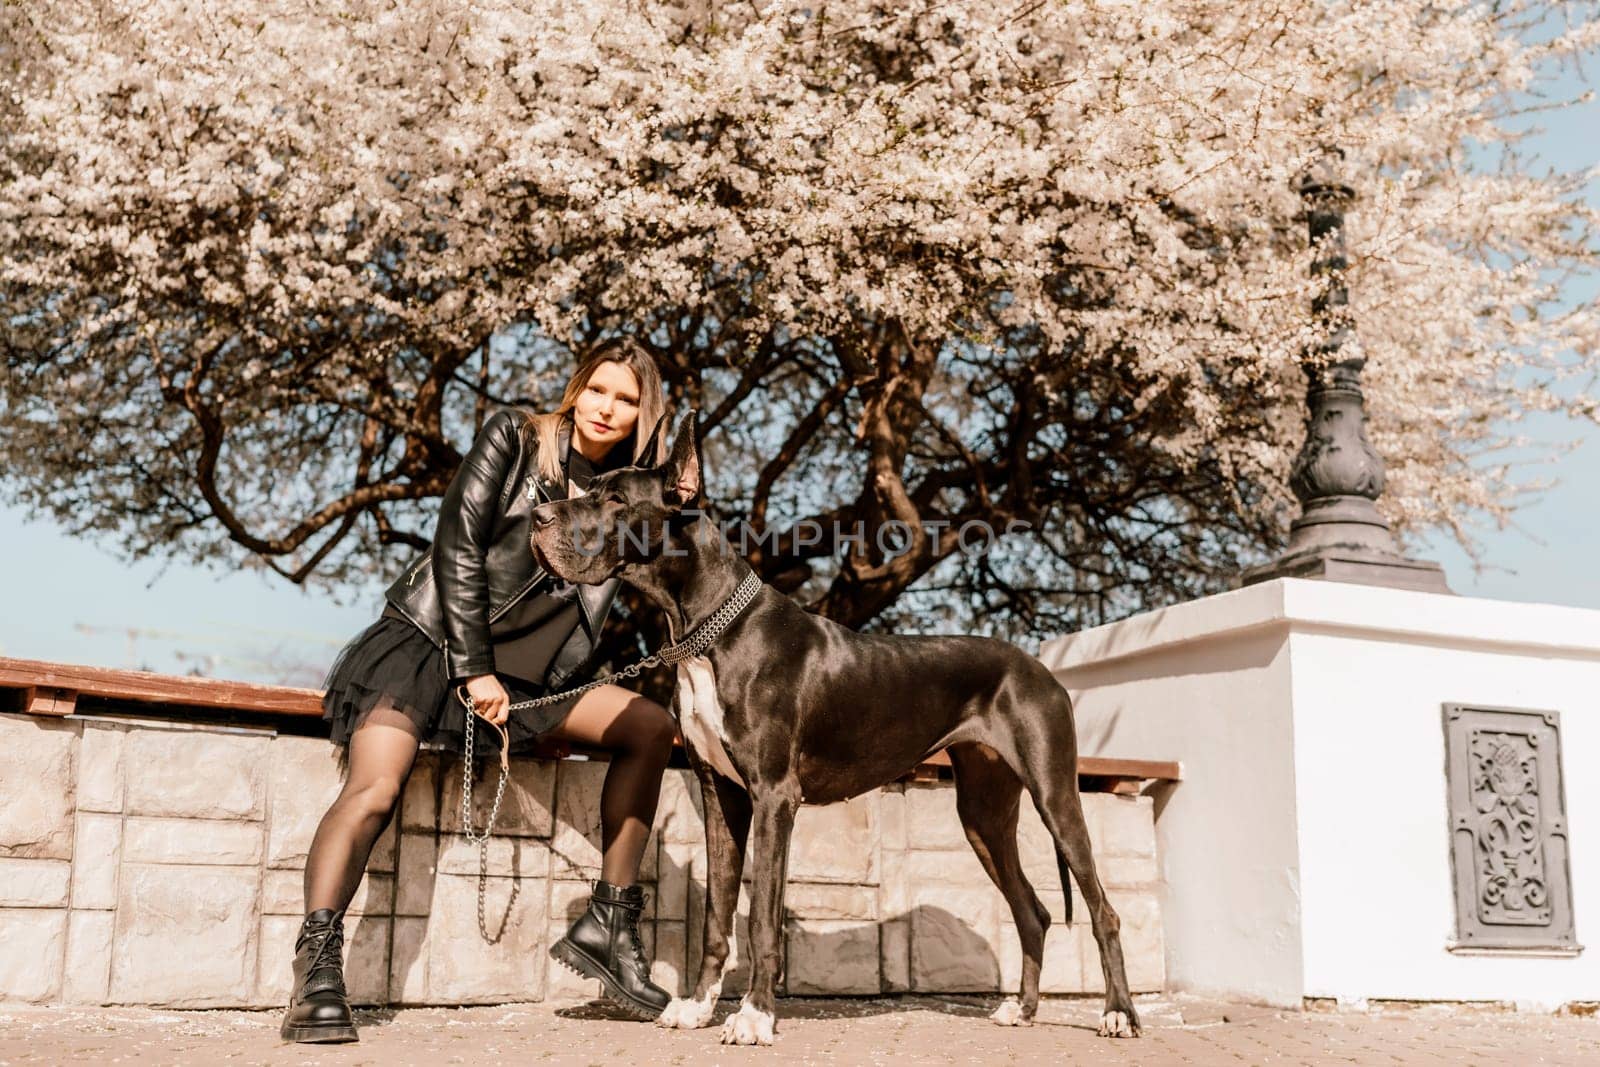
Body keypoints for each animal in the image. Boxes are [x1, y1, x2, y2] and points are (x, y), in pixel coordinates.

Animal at [531, 412, 1145, 1049]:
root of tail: (1040, 668)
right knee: (1032, 911)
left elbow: (763, 918)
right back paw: (1020, 1010)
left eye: (615, 499)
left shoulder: (775, 796)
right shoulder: (720, 796)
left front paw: (755, 1016)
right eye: (590, 488)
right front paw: (697, 1006)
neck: (705, 632)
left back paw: (1118, 1014)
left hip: (1055, 795)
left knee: (1103, 908)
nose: (539, 516)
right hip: (983, 811)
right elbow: (718, 917)